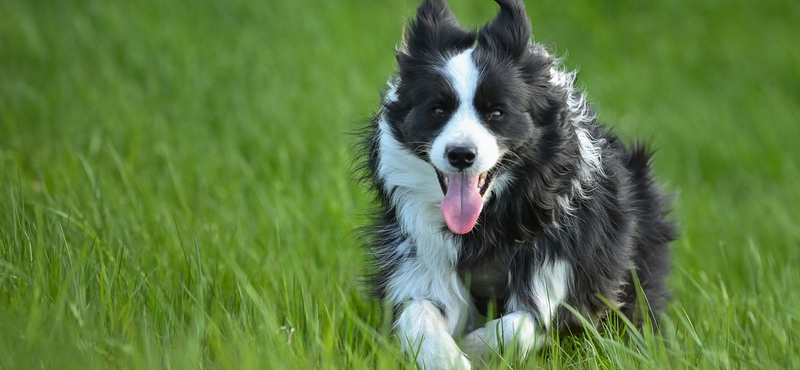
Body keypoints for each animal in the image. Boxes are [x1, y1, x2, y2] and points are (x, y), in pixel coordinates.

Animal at [356, 0, 676, 368]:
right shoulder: (423, 260)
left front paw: (473, 347)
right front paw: (449, 358)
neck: (489, 225)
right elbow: (417, 312)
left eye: (496, 113)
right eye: (437, 110)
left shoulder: (565, 267)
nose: (461, 155)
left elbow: (525, 322)